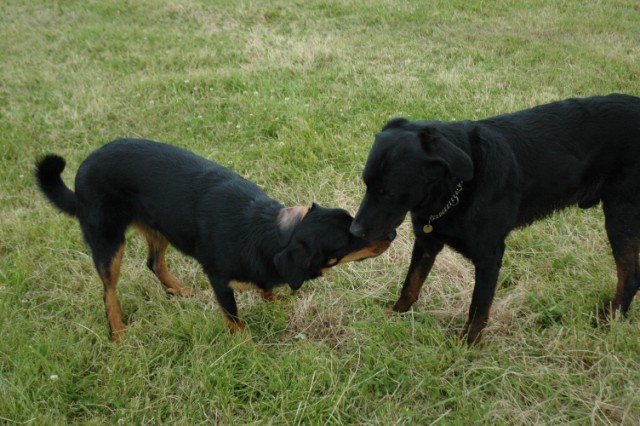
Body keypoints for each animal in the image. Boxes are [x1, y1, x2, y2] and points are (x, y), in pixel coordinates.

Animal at [36, 140, 396, 342]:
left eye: (353, 220)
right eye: (349, 239)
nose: (392, 234)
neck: (266, 231)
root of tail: (83, 167)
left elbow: (265, 288)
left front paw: (275, 301)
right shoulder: (219, 281)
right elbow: (235, 321)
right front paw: (248, 348)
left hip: (160, 227)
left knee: (153, 263)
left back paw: (177, 290)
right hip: (107, 240)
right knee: (109, 291)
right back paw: (119, 334)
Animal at [352, 94, 640, 346]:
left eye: (389, 193)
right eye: (366, 184)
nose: (354, 231)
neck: (457, 188)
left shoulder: (489, 255)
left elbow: (478, 308)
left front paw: (467, 347)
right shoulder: (426, 241)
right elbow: (411, 284)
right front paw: (394, 314)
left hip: (621, 215)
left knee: (629, 276)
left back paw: (608, 321)